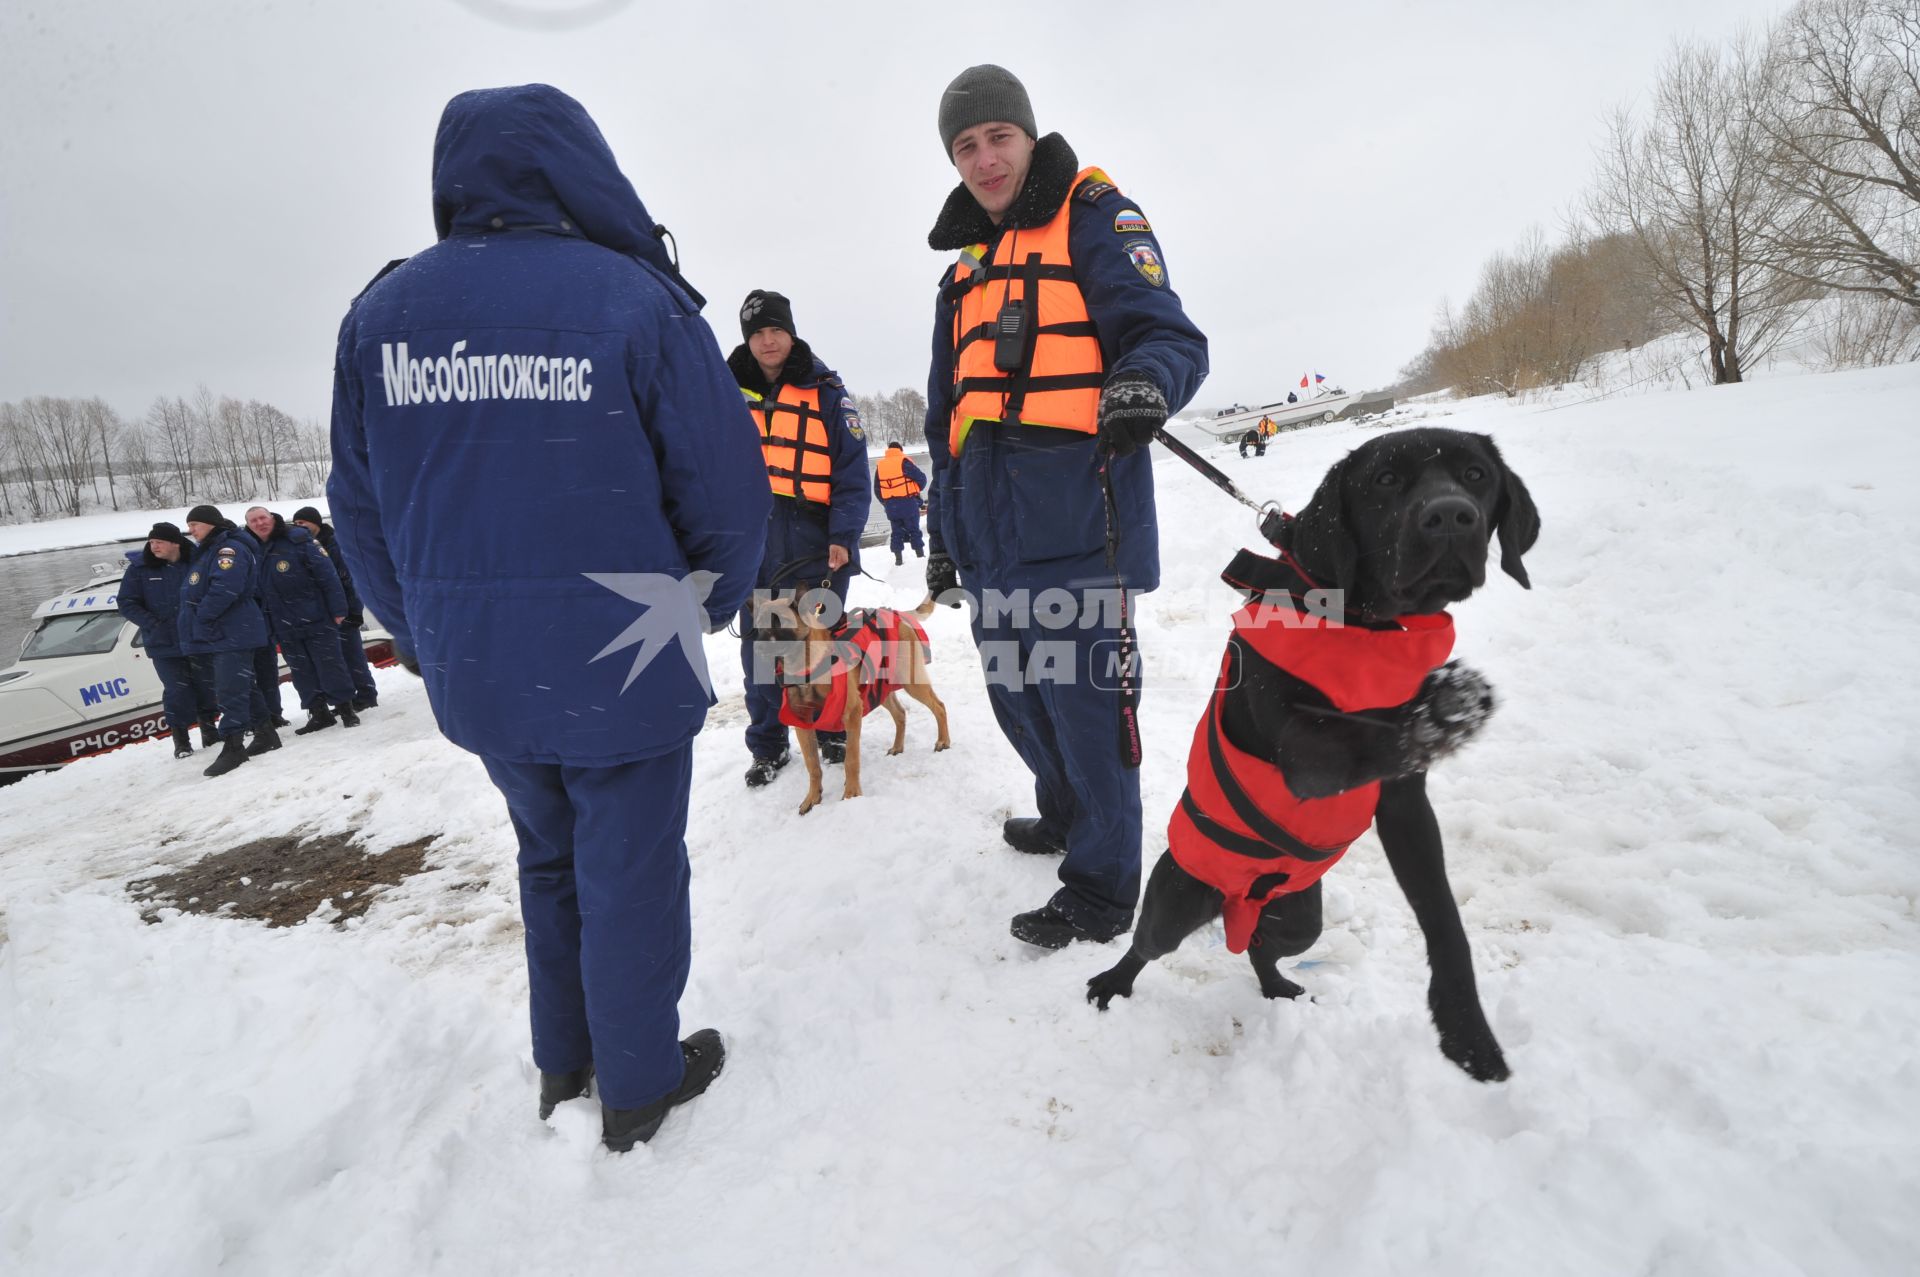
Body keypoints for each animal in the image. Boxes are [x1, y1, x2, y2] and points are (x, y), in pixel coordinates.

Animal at [756, 591, 952, 810]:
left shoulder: (852, 713)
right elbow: (812, 765)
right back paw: (897, 747)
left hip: (910, 681)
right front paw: (812, 798)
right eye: (759, 624)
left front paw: (851, 794)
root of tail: (896, 613)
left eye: (780, 621)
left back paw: (943, 741)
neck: (807, 667)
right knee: (900, 713)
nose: (759, 647)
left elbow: (851, 759)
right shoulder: (802, 723)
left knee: (939, 706)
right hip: (879, 689)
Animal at [1090, 426, 1536, 1075]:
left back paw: (1278, 987)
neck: (1367, 624)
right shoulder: (1303, 755)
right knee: (1147, 945)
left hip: (1302, 918)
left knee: (1257, 947)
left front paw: (1466, 1028)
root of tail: (1238, 900)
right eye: (1385, 480)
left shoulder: (1405, 807)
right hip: (1175, 902)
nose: (1451, 515)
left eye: (1476, 475)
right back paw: (1111, 984)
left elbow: (1445, 920)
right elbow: (1365, 732)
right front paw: (1443, 707)